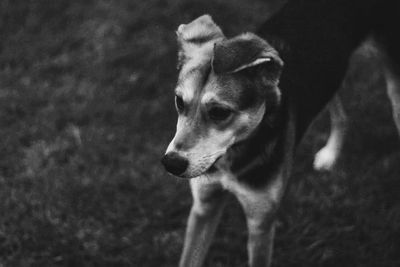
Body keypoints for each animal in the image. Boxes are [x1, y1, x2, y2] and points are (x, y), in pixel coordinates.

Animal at [160, 1, 400, 266]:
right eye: (179, 102)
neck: (234, 155)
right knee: (341, 114)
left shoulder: (261, 224)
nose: (171, 163)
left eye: (220, 112)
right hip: (330, 75)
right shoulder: (204, 206)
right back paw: (330, 154)